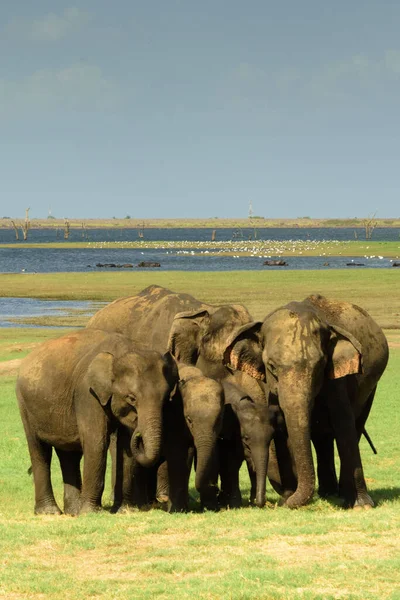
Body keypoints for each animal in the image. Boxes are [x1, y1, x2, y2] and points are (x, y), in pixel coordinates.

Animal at [16, 328, 178, 516]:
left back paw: (73, 511)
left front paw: (124, 510)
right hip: (25, 405)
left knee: (69, 454)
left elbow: (126, 448)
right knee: (39, 450)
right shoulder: (87, 393)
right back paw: (50, 512)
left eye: (166, 398)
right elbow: (96, 441)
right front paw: (91, 513)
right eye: (131, 398)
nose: (138, 432)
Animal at [223, 292, 390, 508]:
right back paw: (328, 493)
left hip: (371, 387)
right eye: (272, 366)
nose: (289, 500)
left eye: (319, 366)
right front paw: (286, 500)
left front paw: (361, 506)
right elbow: (282, 427)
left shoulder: (337, 379)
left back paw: (341, 494)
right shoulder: (270, 387)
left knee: (356, 425)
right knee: (322, 438)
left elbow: (344, 425)